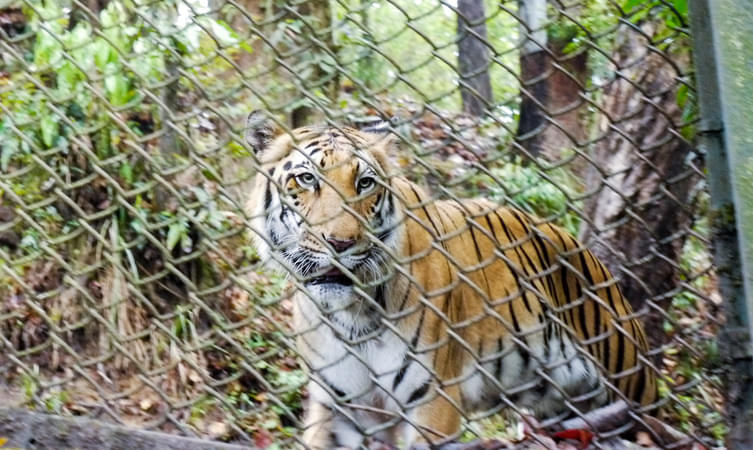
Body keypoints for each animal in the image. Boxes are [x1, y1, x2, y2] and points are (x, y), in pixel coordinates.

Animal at [244, 110, 656, 448]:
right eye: (306, 179)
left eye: (364, 184)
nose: (341, 242)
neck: (351, 314)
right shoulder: (339, 406)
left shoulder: (432, 401)